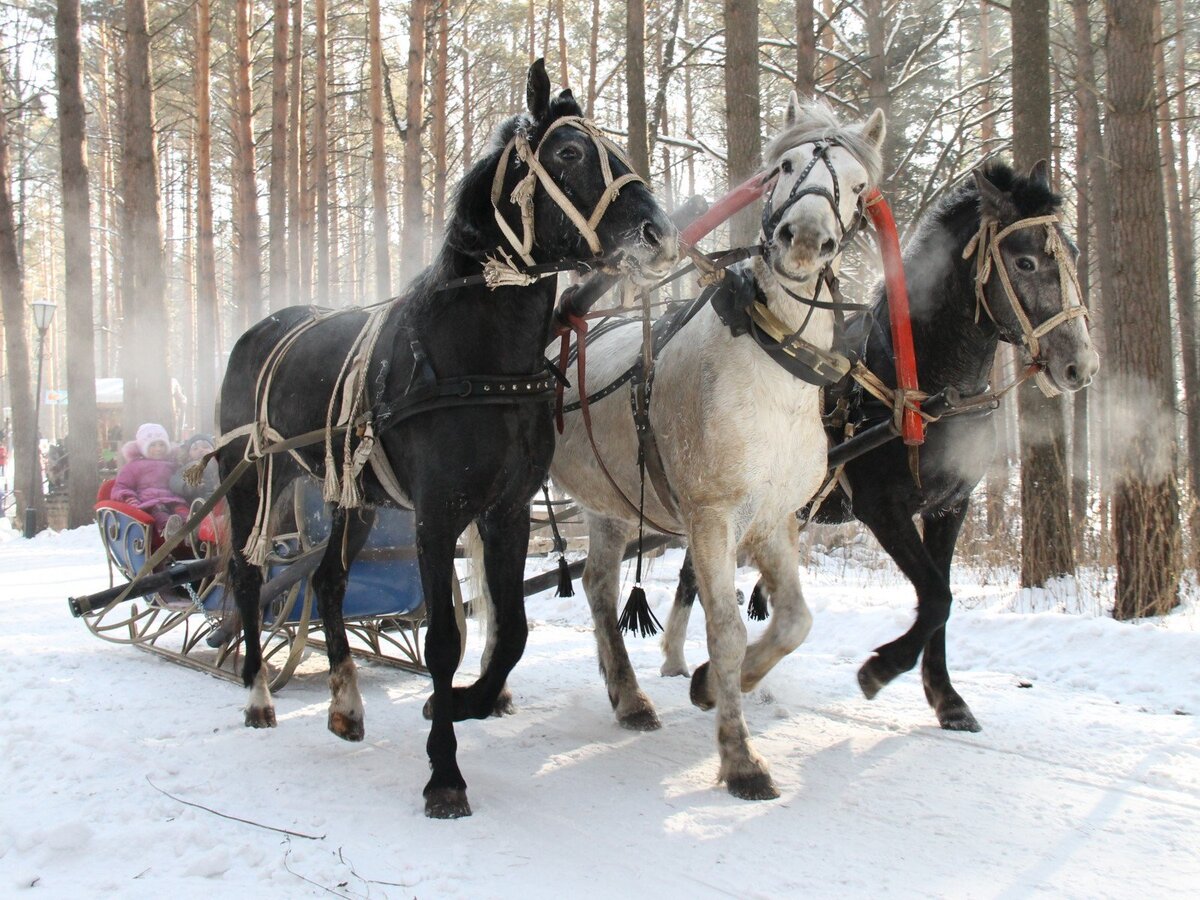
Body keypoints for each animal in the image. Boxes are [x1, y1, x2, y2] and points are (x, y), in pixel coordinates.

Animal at [214, 60, 676, 820]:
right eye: (568, 152)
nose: (657, 231)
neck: (472, 356)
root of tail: (259, 329)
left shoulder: (506, 509)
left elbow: (509, 631)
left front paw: (462, 704)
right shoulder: (435, 517)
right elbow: (443, 639)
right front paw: (444, 771)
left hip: (350, 498)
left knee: (328, 582)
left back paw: (346, 704)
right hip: (257, 481)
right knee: (248, 575)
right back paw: (255, 695)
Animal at [549, 100, 888, 801]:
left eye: (857, 185)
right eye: (784, 167)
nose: (804, 238)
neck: (770, 374)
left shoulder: (776, 519)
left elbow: (793, 622)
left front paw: (710, 684)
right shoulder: (711, 517)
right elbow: (727, 629)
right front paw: (739, 757)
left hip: (609, 504)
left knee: (597, 586)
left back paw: (628, 697)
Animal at [667, 164, 1099, 734]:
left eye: (1072, 252)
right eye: (1025, 260)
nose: (1081, 365)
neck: (918, 385)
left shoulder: (950, 507)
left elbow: (941, 597)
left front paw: (947, 698)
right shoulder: (880, 507)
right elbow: (936, 596)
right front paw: (881, 668)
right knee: (691, 573)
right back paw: (682, 661)